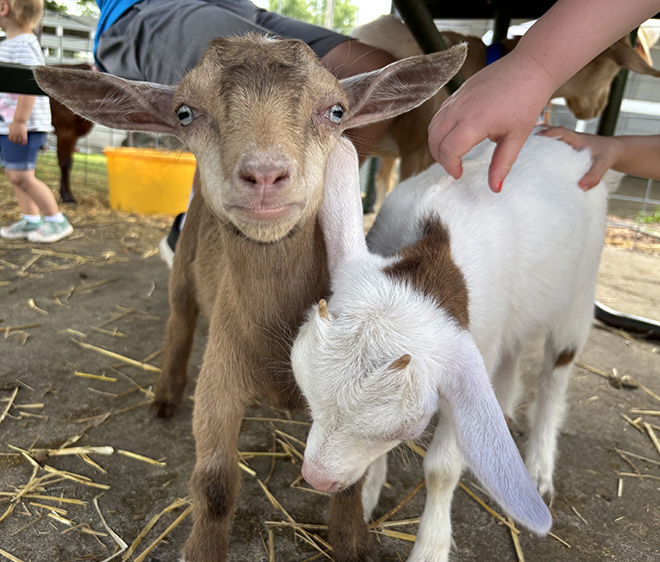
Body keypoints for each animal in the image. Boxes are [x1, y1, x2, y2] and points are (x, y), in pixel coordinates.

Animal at [34, 35, 467, 561]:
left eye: (336, 111)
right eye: (184, 112)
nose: (264, 175)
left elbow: (349, 475)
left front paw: (352, 542)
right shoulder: (221, 371)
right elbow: (215, 483)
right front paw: (203, 550)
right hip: (186, 269)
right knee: (179, 320)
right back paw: (165, 396)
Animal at [291, 130, 615, 561]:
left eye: (401, 430)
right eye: (309, 397)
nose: (317, 479)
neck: (432, 257)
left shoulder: (469, 365)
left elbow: (442, 469)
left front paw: (430, 547)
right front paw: (367, 498)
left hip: (580, 294)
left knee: (555, 375)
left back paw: (540, 466)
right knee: (513, 350)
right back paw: (506, 406)